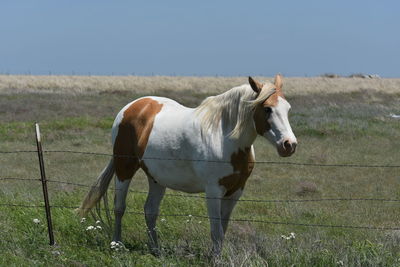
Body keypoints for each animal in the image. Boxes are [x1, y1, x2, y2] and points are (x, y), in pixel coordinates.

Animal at [77, 74, 296, 254]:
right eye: (267, 109)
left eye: (287, 109)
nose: (289, 145)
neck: (224, 137)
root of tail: (132, 107)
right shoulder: (213, 191)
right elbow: (216, 231)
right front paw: (215, 259)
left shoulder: (236, 191)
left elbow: (223, 229)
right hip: (124, 168)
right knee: (119, 207)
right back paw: (117, 244)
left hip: (156, 178)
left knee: (150, 211)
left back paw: (156, 250)